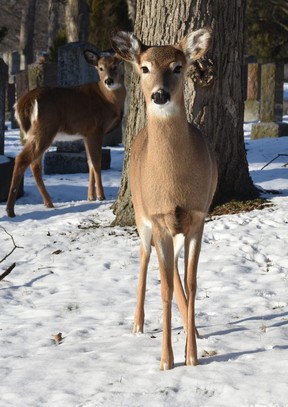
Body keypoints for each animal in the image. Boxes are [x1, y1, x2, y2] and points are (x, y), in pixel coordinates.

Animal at [5, 51, 126, 218]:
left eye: (115, 65)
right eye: (100, 67)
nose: (109, 80)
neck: (108, 100)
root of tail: (23, 103)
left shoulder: (85, 133)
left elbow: (89, 163)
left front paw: (91, 196)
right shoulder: (95, 129)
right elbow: (96, 162)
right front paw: (101, 196)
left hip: (37, 132)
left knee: (35, 164)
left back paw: (48, 202)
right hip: (46, 128)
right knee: (22, 159)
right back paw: (10, 209)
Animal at [111, 30, 217, 372]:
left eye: (178, 67)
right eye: (145, 68)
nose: (159, 95)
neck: (174, 184)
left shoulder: (197, 216)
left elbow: (191, 283)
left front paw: (192, 356)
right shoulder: (159, 219)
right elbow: (165, 287)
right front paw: (167, 361)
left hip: (176, 229)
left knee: (178, 276)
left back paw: (192, 330)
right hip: (143, 217)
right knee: (144, 258)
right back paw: (137, 324)